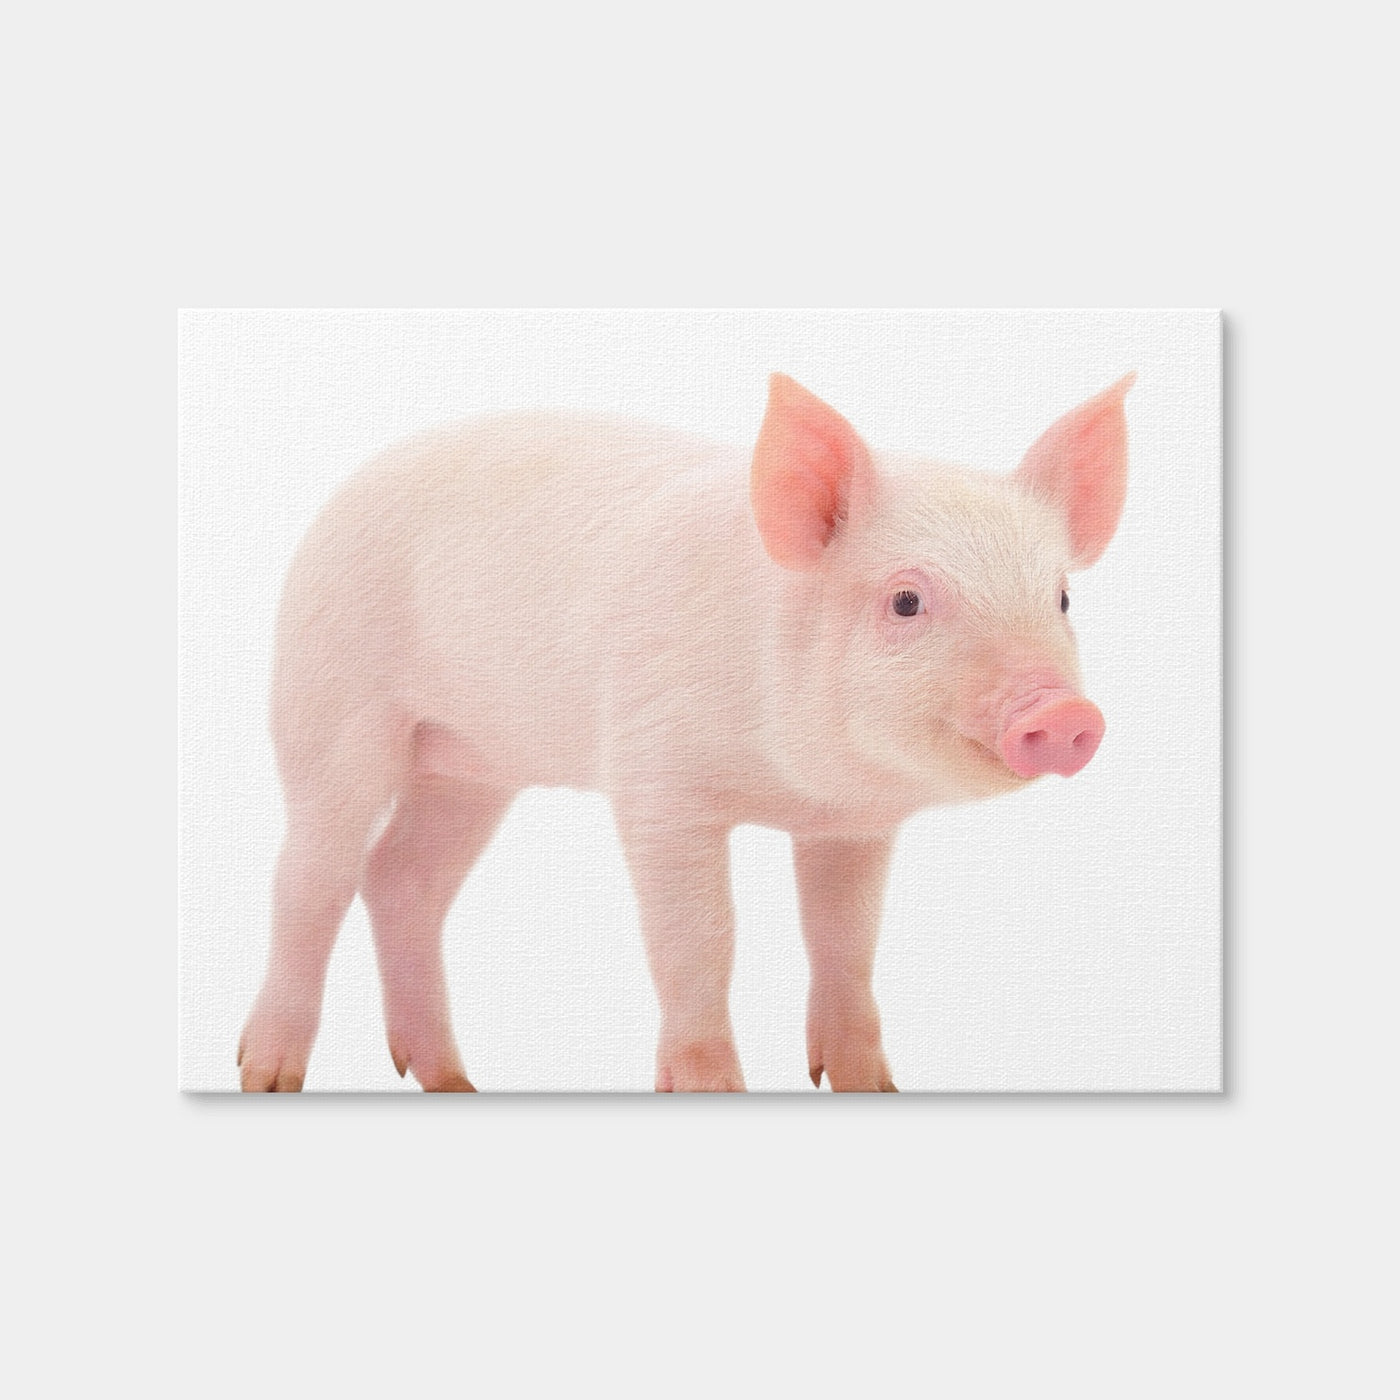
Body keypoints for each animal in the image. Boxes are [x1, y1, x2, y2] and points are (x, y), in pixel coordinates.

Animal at [238, 372, 1132, 1092]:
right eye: (906, 601)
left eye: (1060, 598)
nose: (1064, 715)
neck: (794, 786)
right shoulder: (656, 784)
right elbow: (700, 940)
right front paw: (709, 1088)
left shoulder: (853, 826)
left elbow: (844, 942)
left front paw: (868, 1086)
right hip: (332, 702)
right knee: (312, 878)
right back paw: (266, 1074)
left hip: (469, 767)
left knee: (403, 879)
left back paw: (454, 1081)